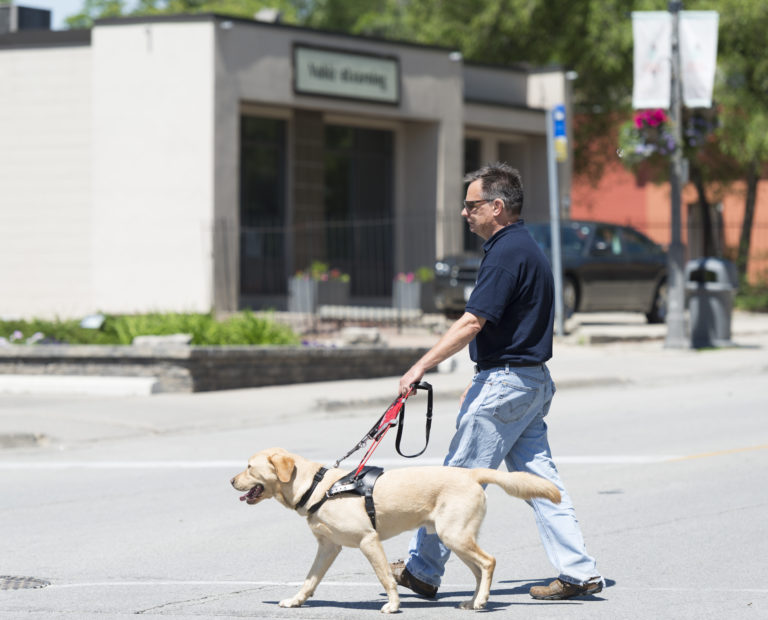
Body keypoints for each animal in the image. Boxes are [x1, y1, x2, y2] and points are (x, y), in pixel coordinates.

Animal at [231, 448, 560, 612]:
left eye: (249, 466)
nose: (231, 481)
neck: (318, 486)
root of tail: (471, 474)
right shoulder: (328, 547)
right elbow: (309, 580)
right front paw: (295, 601)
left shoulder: (369, 540)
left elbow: (385, 578)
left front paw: (393, 605)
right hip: (456, 539)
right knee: (479, 570)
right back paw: (474, 600)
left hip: (455, 536)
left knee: (489, 562)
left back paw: (480, 601)